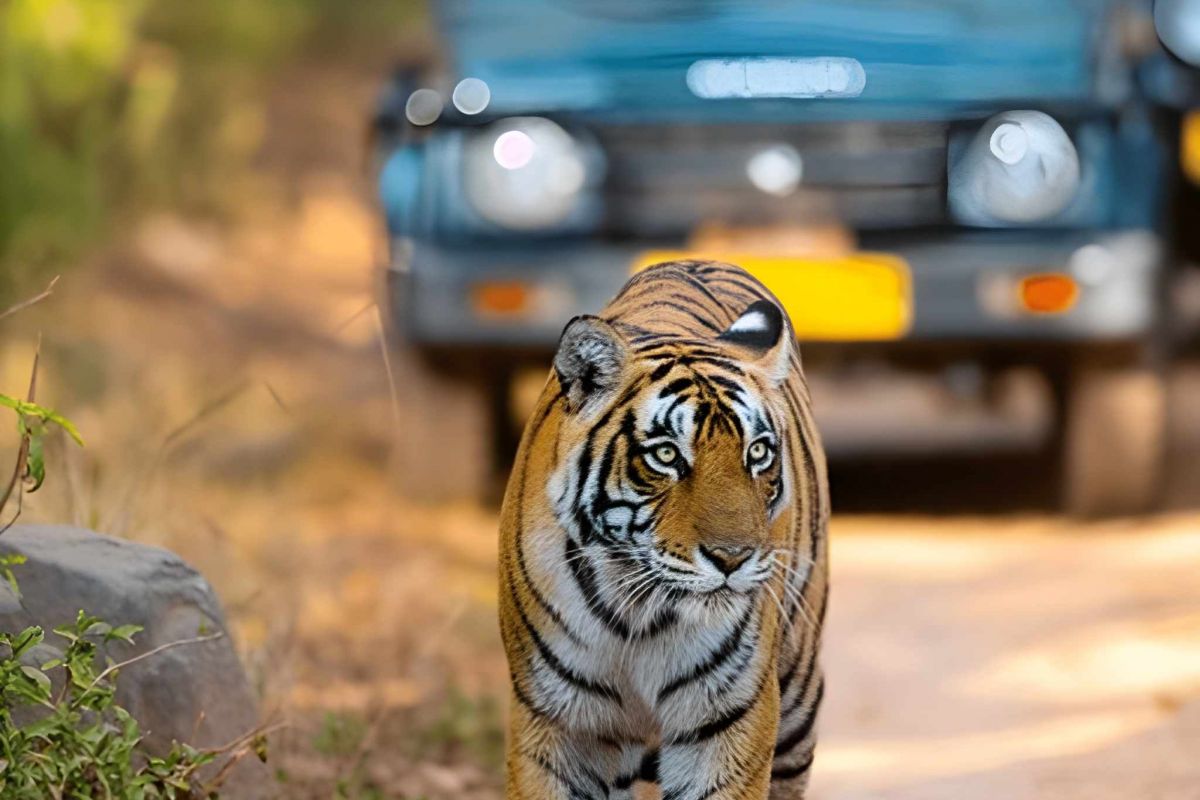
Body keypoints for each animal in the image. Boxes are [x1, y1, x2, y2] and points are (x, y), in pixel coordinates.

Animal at [498, 259, 829, 800]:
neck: (637, 618)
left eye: (757, 452)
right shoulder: (556, 722)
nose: (733, 558)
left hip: (798, 689)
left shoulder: (727, 719)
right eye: (667, 455)